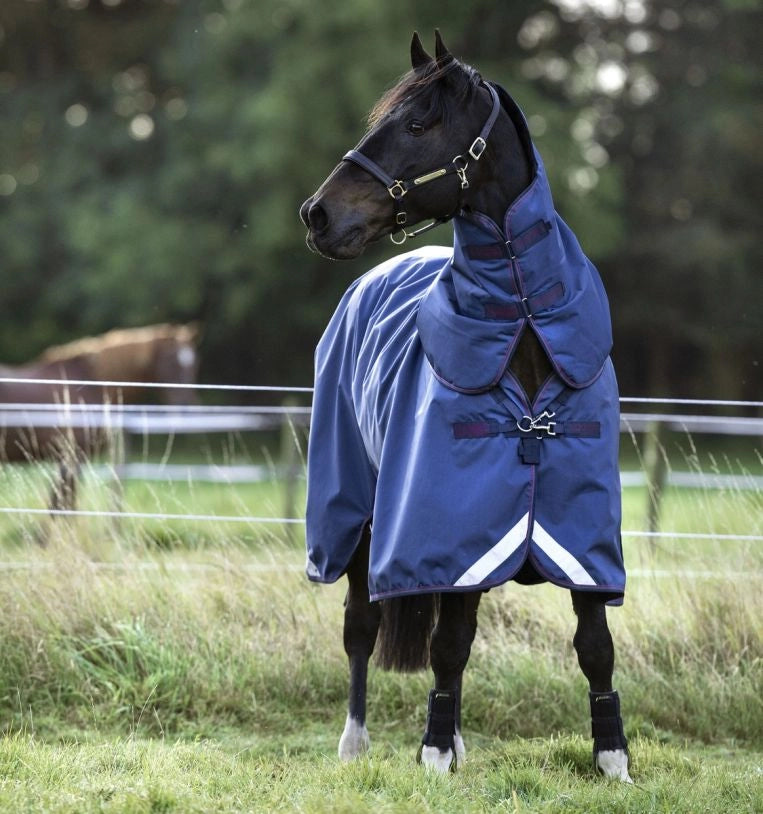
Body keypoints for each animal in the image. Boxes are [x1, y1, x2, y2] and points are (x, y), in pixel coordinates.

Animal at [0, 322, 200, 512]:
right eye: (171, 361)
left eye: (194, 363)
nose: (184, 406)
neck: (90, 384)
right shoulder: (72, 457)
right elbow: (62, 506)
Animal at [299, 32, 631, 781]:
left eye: (418, 124)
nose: (318, 215)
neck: (523, 335)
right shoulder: (442, 536)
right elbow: (445, 647)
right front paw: (431, 753)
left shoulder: (581, 538)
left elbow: (594, 646)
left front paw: (613, 758)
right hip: (354, 513)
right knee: (361, 627)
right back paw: (356, 742)